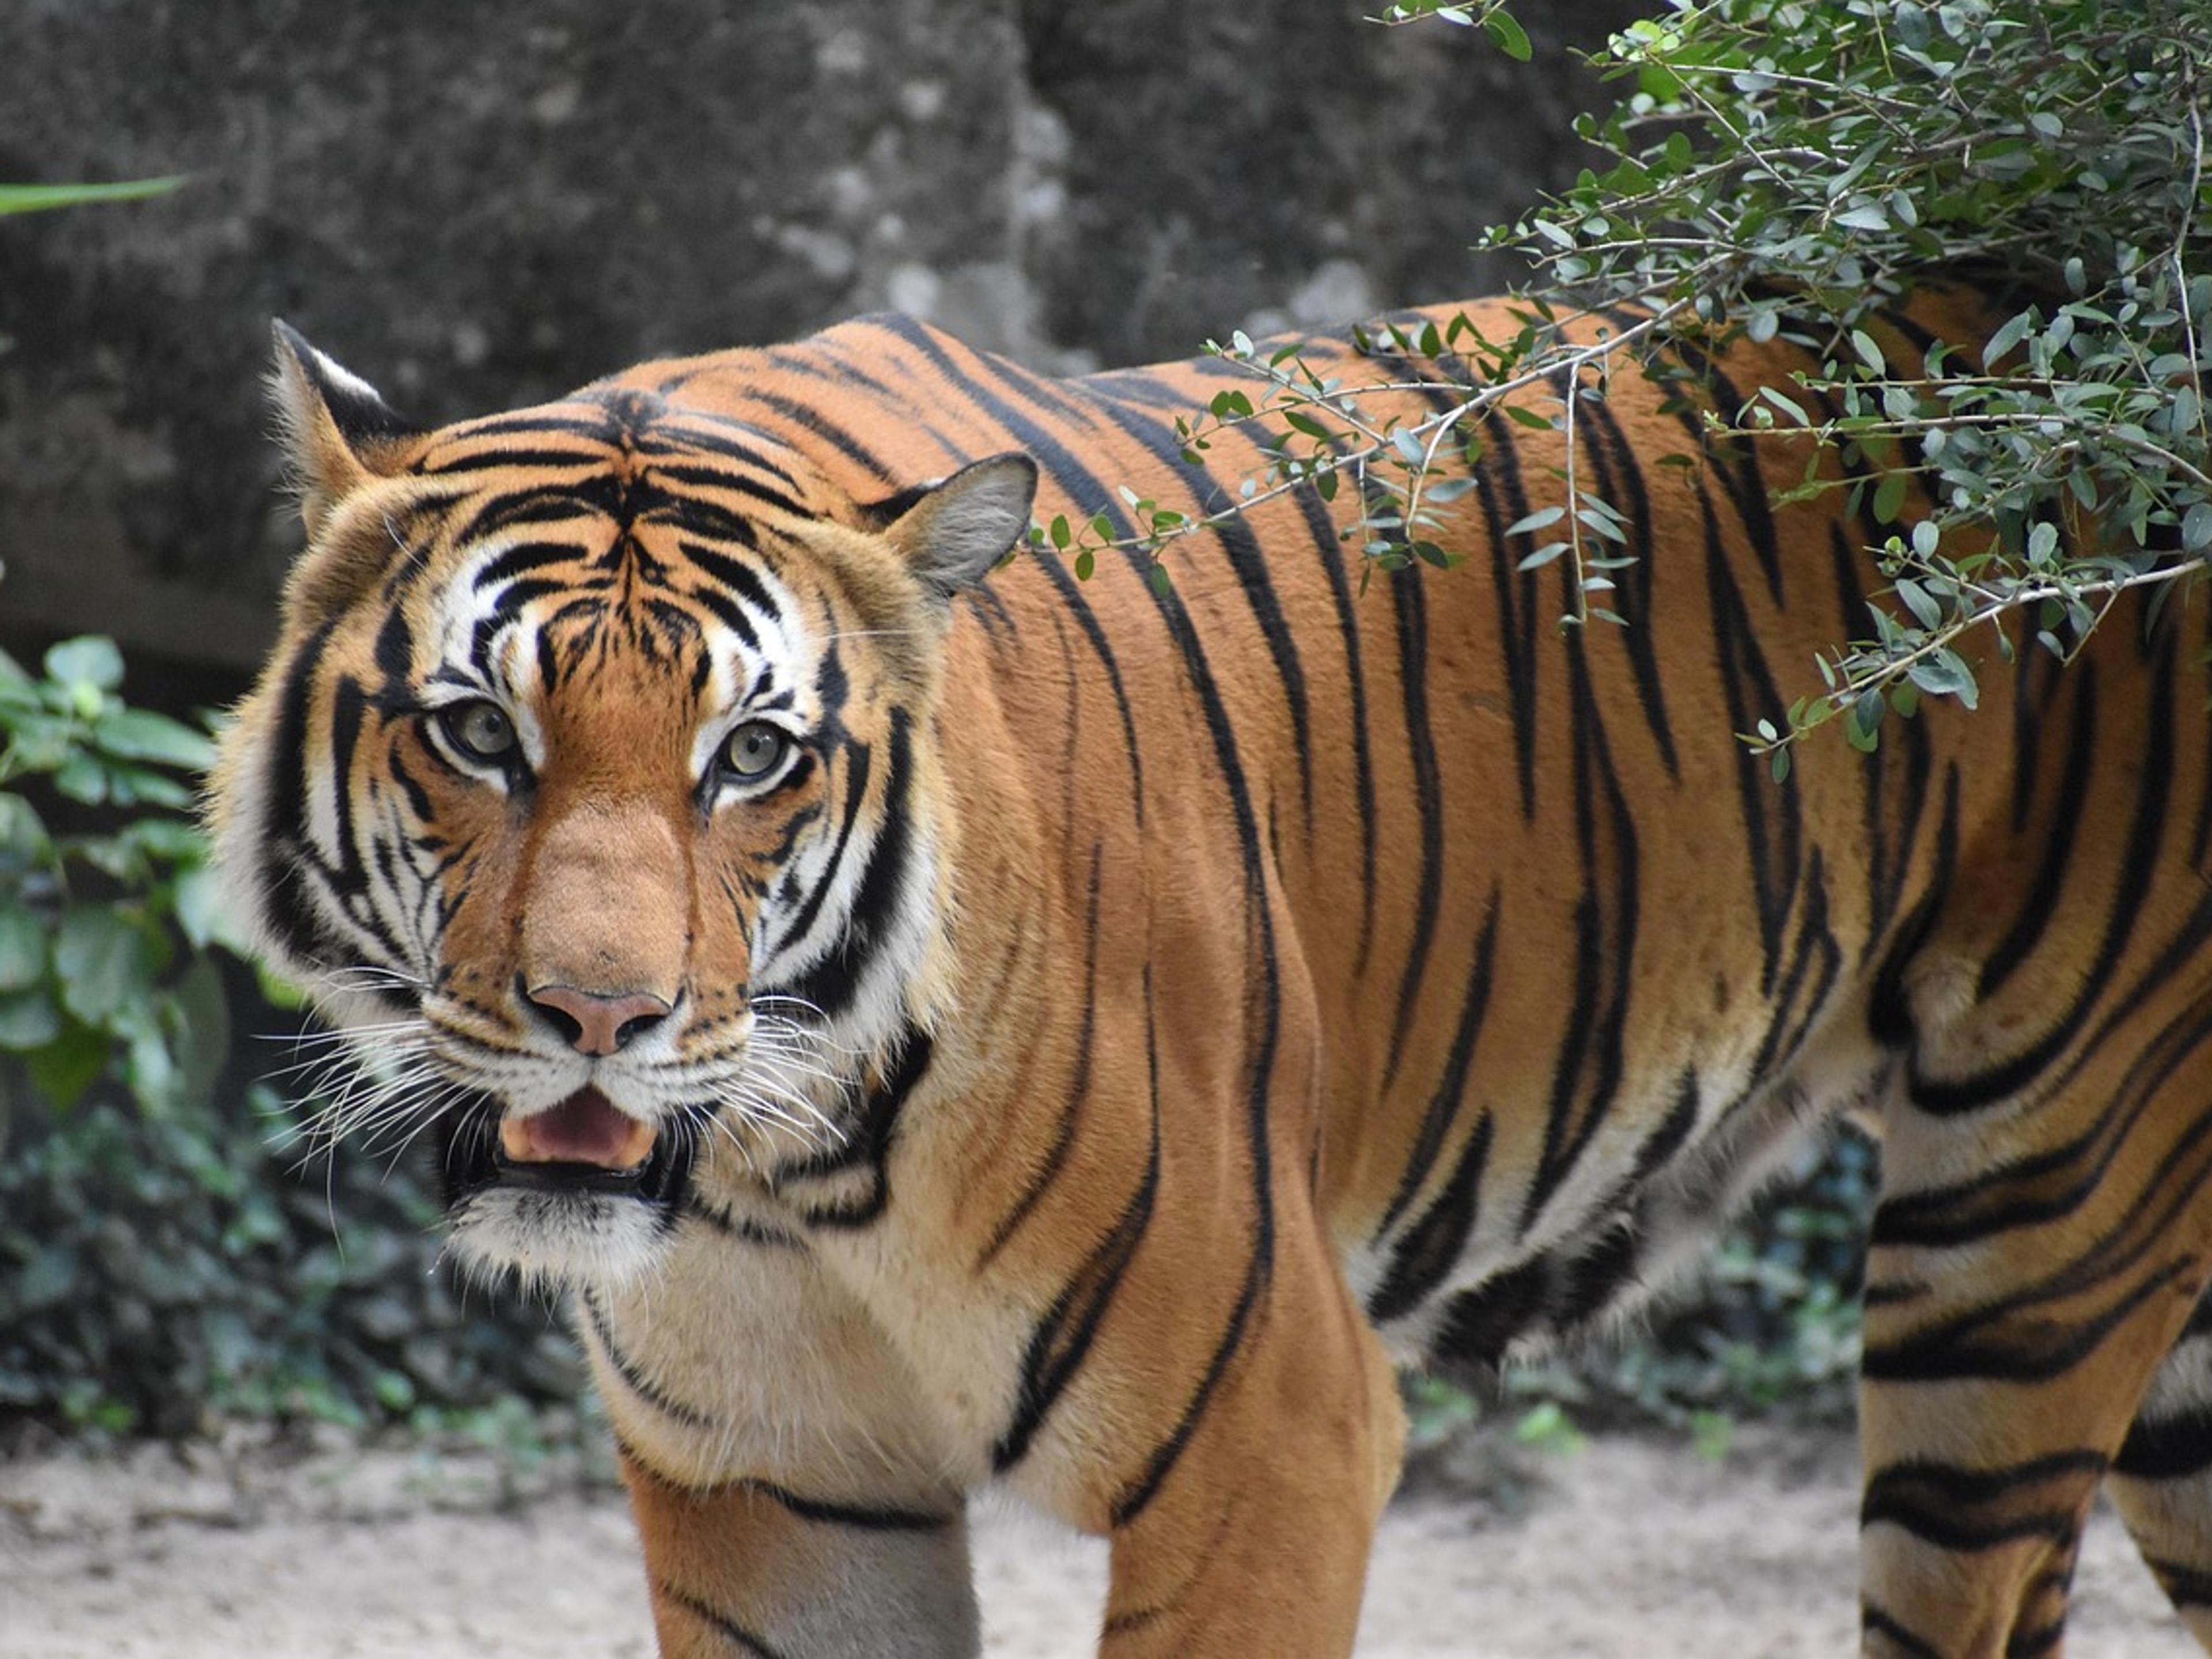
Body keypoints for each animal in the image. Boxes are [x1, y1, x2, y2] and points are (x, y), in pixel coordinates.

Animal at [204, 282, 2212, 1658]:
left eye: (752, 758)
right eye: (479, 733)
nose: (599, 1021)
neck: (786, 1176)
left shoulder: (1276, 1434)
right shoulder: (773, 1483)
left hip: (2022, 1252)